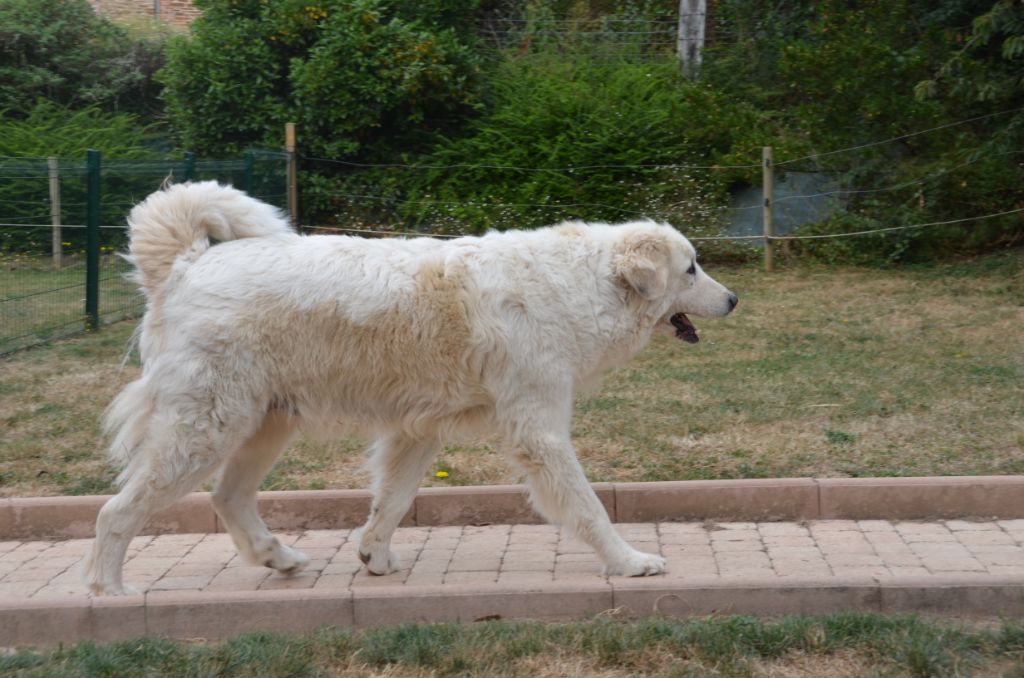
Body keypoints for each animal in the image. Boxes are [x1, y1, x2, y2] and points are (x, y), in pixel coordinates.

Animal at [81, 183, 737, 598]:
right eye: (691, 269)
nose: (733, 299)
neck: (580, 286)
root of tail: (186, 265)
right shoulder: (540, 433)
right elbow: (589, 507)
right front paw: (630, 562)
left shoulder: (419, 430)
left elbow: (391, 502)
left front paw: (374, 558)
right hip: (204, 430)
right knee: (116, 512)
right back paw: (109, 590)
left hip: (261, 425)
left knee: (227, 498)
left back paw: (279, 558)